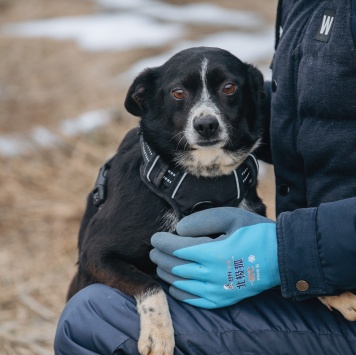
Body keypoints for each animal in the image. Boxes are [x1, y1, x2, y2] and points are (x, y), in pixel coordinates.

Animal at [67, 48, 268, 355]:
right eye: (178, 92)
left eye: (229, 87)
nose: (206, 125)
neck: (202, 182)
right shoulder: (96, 253)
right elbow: (149, 283)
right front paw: (158, 333)